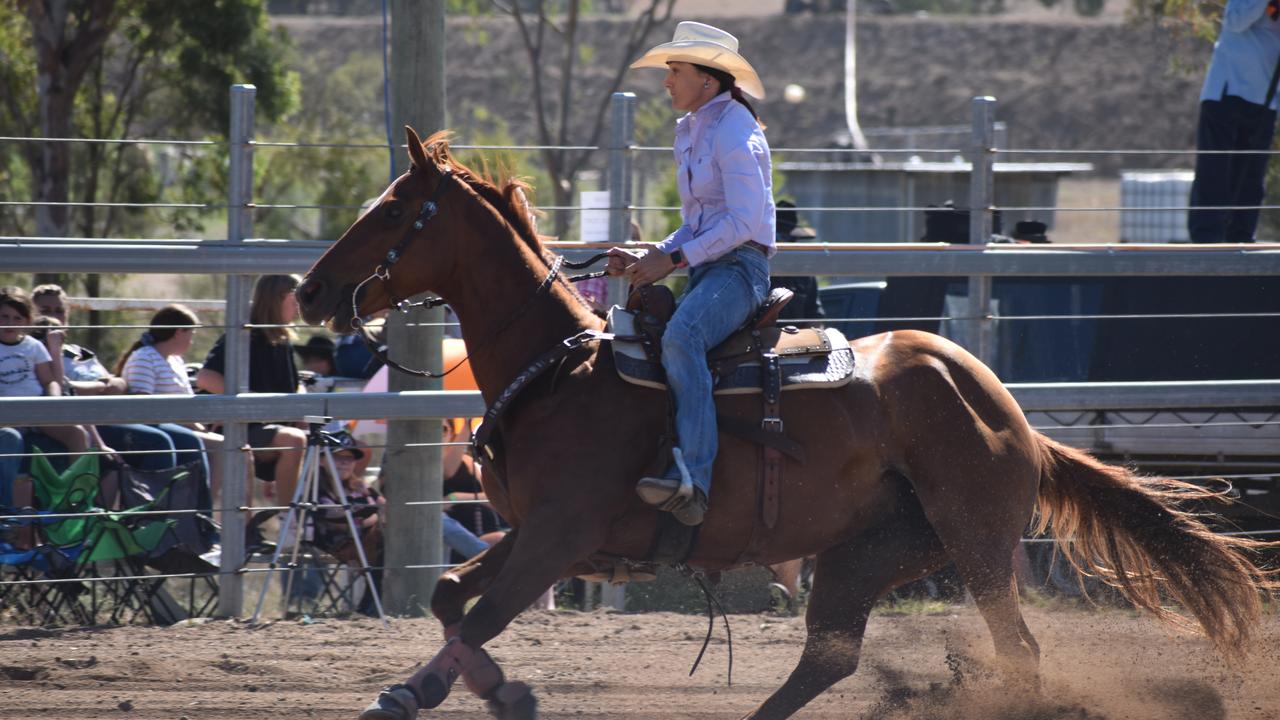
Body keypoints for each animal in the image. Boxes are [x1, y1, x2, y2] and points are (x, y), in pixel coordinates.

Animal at [296, 126, 1269, 712]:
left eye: (391, 208)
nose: (309, 292)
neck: (559, 371)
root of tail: (1010, 414)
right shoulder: (541, 534)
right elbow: (449, 597)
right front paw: (472, 694)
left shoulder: (559, 535)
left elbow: (480, 615)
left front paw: (450, 694)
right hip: (871, 549)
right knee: (831, 652)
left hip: (978, 543)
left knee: (1017, 651)